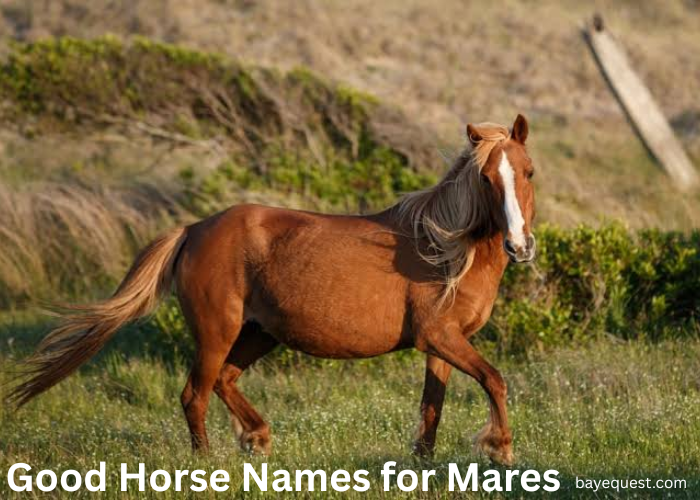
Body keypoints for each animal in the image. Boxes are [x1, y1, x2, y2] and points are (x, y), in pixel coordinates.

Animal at [8, 114, 536, 466]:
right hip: (217, 332)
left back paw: (257, 437)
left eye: (527, 172)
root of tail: (194, 230)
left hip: (260, 333)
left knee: (223, 381)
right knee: (194, 393)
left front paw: (422, 465)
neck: (446, 250)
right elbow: (495, 379)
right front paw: (501, 450)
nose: (520, 245)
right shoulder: (439, 337)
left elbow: (432, 407)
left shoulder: (441, 345)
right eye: (485, 177)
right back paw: (206, 463)